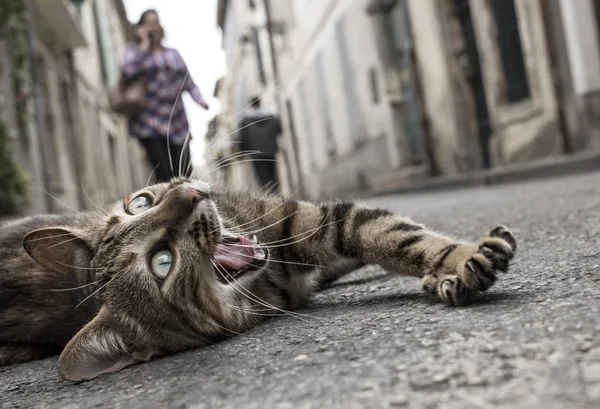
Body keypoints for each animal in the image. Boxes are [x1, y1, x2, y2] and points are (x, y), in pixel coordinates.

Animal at [0, 177, 516, 380]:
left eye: (140, 202)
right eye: (162, 262)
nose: (191, 193)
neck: (272, 282)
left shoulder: (308, 221)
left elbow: (392, 237)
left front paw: (449, 269)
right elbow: (396, 236)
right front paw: (459, 264)